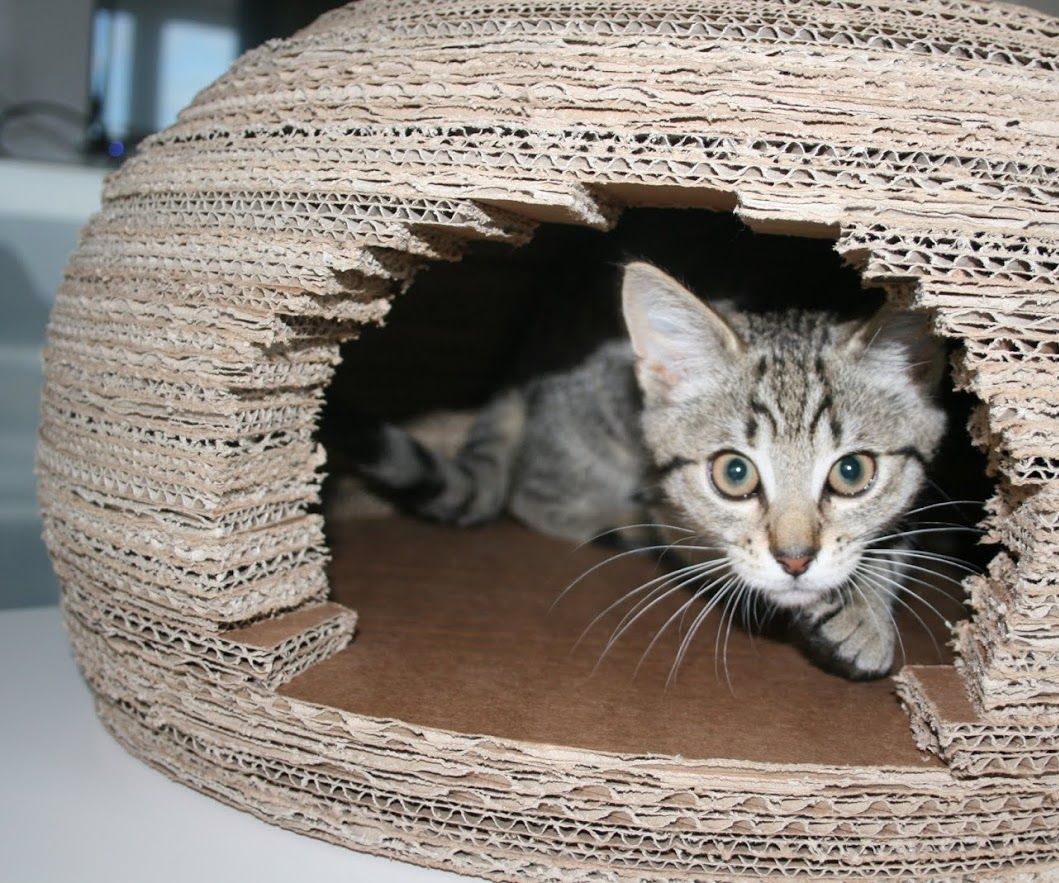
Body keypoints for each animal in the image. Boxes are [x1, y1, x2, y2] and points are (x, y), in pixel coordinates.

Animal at [351, 258, 948, 677]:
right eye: (734, 474)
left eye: (852, 473)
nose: (796, 559)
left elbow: (894, 539)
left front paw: (865, 608)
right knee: (530, 491)